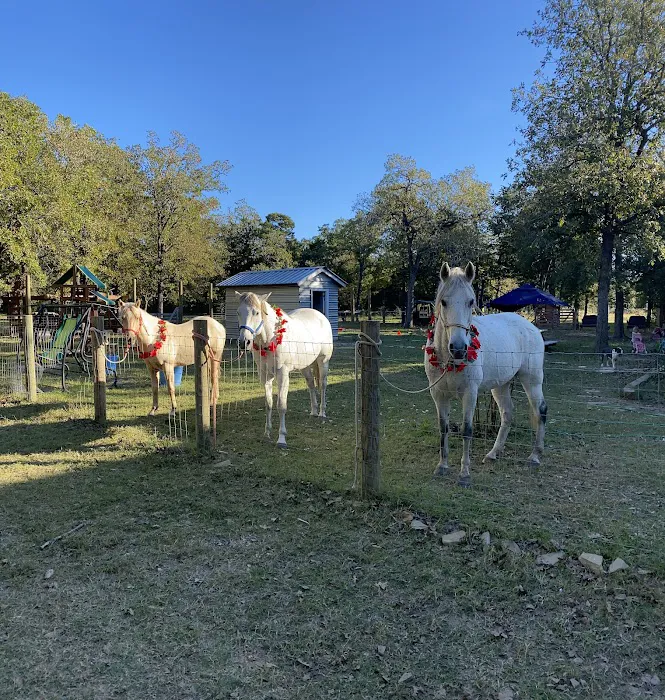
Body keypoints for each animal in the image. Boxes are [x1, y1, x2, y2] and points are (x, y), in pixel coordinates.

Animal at [235, 291, 333, 448]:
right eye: (238, 312)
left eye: (256, 312)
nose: (244, 342)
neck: (270, 340)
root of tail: (321, 316)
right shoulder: (265, 376)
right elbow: (268, 404)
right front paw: (267, 433)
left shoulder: (283, 375)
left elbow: (281, 405)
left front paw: (281, 439)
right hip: (305, 367)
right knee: (311, 385)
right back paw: (313, 411)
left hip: (323, 362)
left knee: (322, 385)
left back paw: (322, 413)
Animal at [424, 262, 547, 487]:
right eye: (444, 302)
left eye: (470, 301)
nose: (459, 348)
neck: (448, 360)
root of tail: (531, 326)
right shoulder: (438, 395)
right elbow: (443, 428)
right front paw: (442, 466)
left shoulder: (470, 394)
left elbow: (467, 430)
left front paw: (464, 474)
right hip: (501, 385)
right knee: (507, 413)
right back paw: (493, 453)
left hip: (532, 381)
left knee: (540, 410)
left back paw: (535, 456)